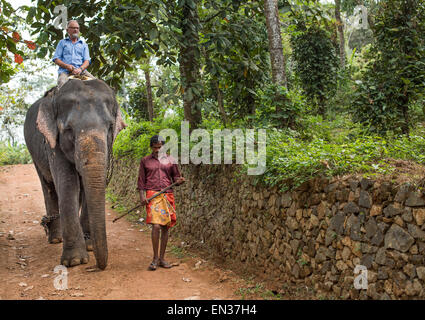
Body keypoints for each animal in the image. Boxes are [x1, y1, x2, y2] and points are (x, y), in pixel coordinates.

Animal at [24, 79, 126, 268]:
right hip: (33, 152)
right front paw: (75, 261)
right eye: (69, 130)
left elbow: (88, 186)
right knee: (48, 186)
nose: (101, 266)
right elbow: (67, 183)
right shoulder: (53, 142)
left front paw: (90, 246)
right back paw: (55, 239)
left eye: (110, 127)